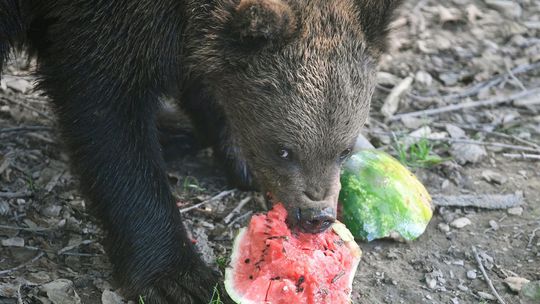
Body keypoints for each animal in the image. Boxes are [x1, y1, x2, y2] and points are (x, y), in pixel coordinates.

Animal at [1, 1, 400, 302]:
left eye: (343, 150)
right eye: (284, 151)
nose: (316, 217)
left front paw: (237, 156)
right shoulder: (102, 27)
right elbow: (108, 118)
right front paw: (180, 278)